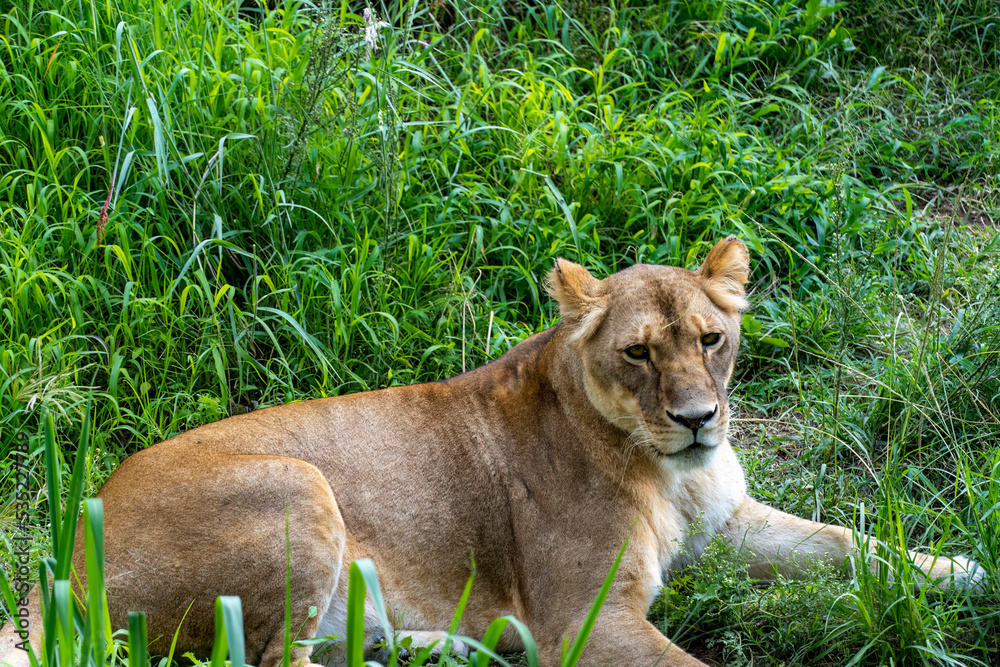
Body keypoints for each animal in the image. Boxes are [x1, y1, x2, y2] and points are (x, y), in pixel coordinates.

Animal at [1, 237, 982, 667]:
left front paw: (961, 569)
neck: (672, 469)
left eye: (712, 340)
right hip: (297, 483)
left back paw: (452, 648)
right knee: (272, 663)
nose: (702, 417)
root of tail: (55, 570)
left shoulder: (729, 522)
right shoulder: (588, 618)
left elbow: (847, 542)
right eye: (639, 352)